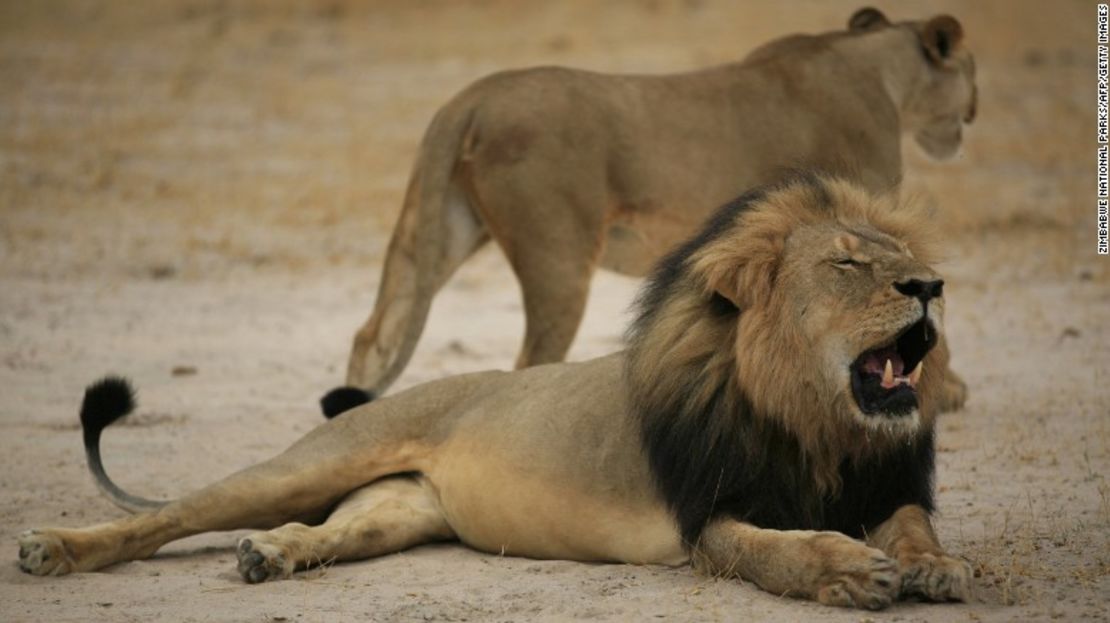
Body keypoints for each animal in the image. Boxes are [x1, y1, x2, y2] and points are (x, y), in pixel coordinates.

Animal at [19, 173, 972, 608]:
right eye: (849, 265)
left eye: (900, 257)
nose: (931, 285)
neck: (817, 424)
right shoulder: (709, 516)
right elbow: (778, 550)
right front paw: (848, 569)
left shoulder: (882, 482)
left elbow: (913, 524)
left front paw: (935, 566)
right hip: (310, 462)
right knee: (166, 517)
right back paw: (53, 548)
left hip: (396, 509)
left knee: (324, 530)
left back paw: (272, 555)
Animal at [330, 7, 981, 413]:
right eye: (971, 70)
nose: (975, 108)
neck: (881, 70)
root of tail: (471, 97)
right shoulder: (859, 214)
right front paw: (944, 391)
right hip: (557, 256)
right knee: (529, 360)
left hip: (440, 228)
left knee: (373, 333)